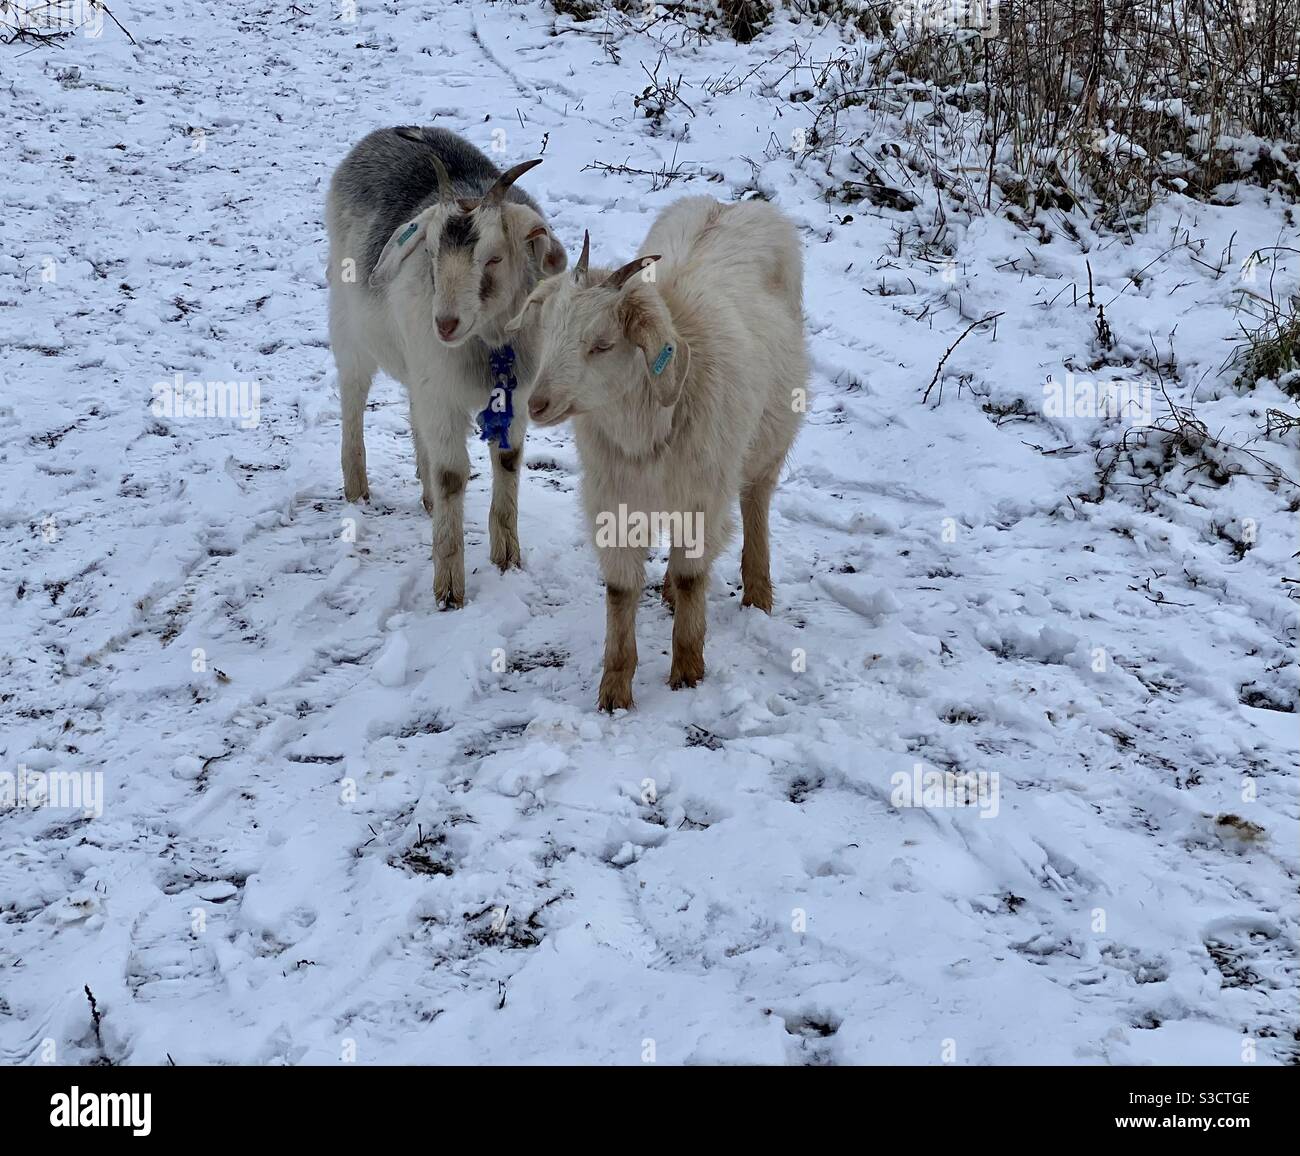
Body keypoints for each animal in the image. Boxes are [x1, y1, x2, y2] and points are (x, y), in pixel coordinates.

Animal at [326, 126, 567, 607]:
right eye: (432, 252)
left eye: (493, 258)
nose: (446, 323)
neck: (487, 343)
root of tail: (384, 131)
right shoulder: (441, 390)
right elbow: (452, 475)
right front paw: (449, 590)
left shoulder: (514, 395)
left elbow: (508, 461)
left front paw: (507, 558)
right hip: (350, 326)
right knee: (353, 395)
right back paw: (357, 488)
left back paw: (428, 497)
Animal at [505, 196, 807, 710]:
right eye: (548, 331)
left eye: (602, 345)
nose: (538, 404)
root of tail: (731, 204)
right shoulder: (615, 496)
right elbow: (620, 589)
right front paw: (614, 690)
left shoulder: (703, 493)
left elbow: (692, 578)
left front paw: (687, 670)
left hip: (769, 439)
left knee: (757, 501)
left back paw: (758, 592)